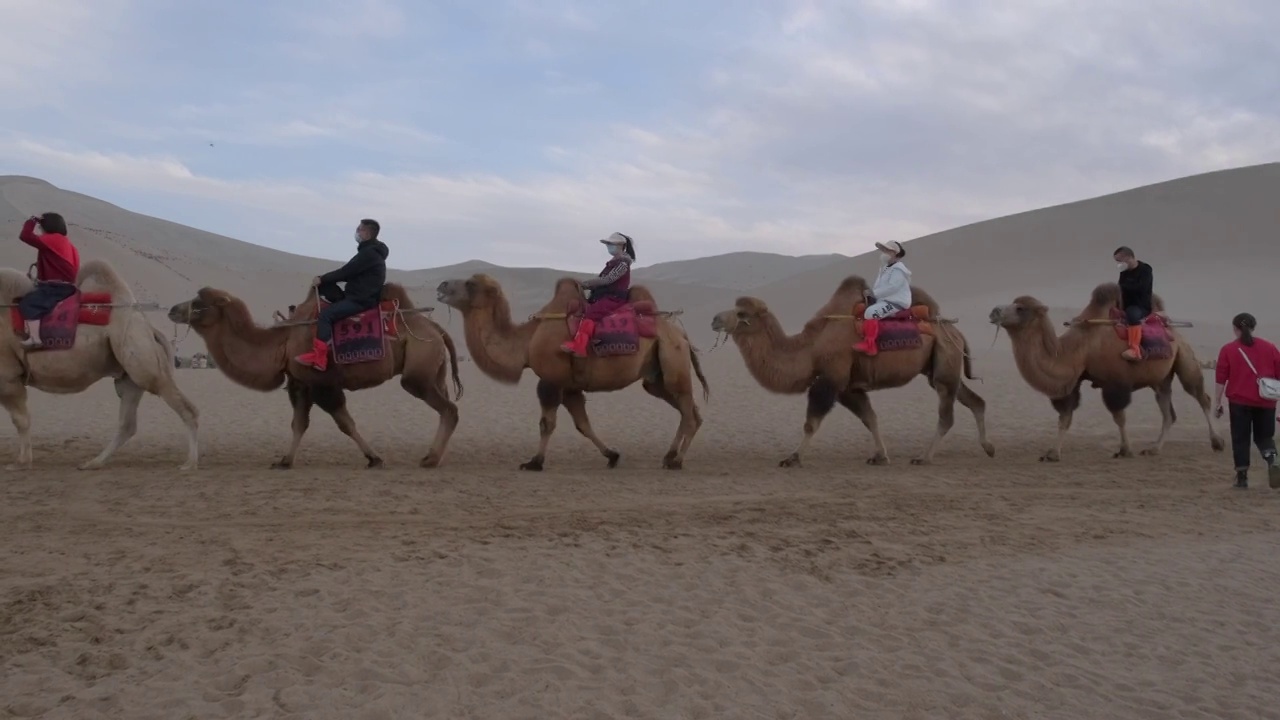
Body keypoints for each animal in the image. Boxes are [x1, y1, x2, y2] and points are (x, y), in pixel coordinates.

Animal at [0, 260, 199, 468]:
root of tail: (150, 329)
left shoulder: (7, 377)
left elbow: (21, 420)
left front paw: (21, 462)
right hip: (128, 375)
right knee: (127, 424)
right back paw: (93, 463)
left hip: (141, 358)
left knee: (184, 406)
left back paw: (190, 463)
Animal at [167, 283, 463, 468]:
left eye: (199, 302)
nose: (172, 309)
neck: (282, 342)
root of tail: (437, 328)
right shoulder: (300, 383)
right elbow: (298, 424)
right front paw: (284, 461)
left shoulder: (323, 384)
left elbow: (345, 423)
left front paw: (374, 458)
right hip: (435, 370)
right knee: (446, 405)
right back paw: (434, 456)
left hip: (418, 370)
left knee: (448, 409)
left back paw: (430, 460)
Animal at [432, 271, 711, 468]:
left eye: (470, 284)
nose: (442, 285)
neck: (526, 342)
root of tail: (681, 334)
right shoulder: (570, 386)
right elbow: (583, 424)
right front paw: (612, 455)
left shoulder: (550, 380)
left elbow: (546, 423)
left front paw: (534, 462)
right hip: (656, 377)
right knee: (689, 411)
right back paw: (670, 456)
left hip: (672, 360)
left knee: (687, 410)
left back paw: (676, 460)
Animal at [706, 272, 993, 466]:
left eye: (742, 314)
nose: (715, 319)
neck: (810, 347)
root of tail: (955, 331)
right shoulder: (847, 387)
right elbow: (870, 418)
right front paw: (880, 455)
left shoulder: (831, 378)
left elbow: (811, 423)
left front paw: (793, 458)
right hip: (941, 366)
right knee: (974, 400)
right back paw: (988, 447)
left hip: (945, 362)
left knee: (947, 414)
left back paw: (923, 457)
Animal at [983, 281, 1223, 458]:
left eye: (1020, 308)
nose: (994, 311)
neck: (1080, 348)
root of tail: (1174, 331)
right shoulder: (1074, 382)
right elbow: (1065, 417)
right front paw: (1052, 453)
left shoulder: (1115, 382)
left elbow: (1119, 416)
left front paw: (1125, 450)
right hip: (1160, 379)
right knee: (1168, 412)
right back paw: (1154, 449)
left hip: (1184, 357)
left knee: (1201, 396)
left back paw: (1217, 442)